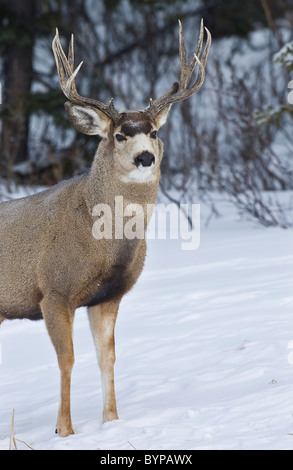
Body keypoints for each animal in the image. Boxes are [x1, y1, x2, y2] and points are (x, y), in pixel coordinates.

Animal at [0, 19, 210, 436]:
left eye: (154, 132)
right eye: (119, 135)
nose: (145, 157)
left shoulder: (108, 295)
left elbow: (107, 357)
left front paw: (112, 421)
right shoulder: (54, 290)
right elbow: (67, 360)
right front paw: (64, 430)